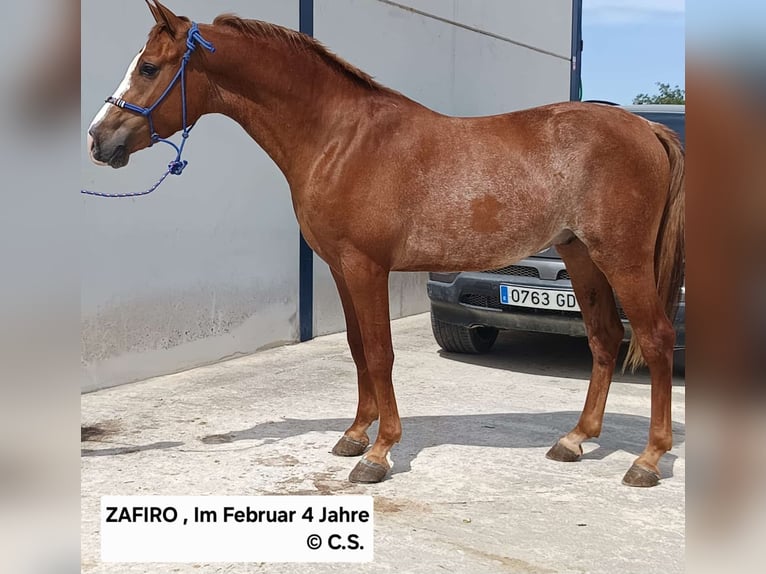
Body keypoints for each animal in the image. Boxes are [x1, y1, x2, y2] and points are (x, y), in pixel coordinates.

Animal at [86, 1, 684, 487]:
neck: (341, 138)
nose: (98, 139)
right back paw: (574, 440)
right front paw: (354, 434)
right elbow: (356, 348)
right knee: (605, 338)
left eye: (148, 67)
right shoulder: (339, 267)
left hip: (623, 259)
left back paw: (647, 461)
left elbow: (379, 352)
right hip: (581, 255)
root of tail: (646, 129)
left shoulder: (366, 266)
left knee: (653, 338)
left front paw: (379, 453)